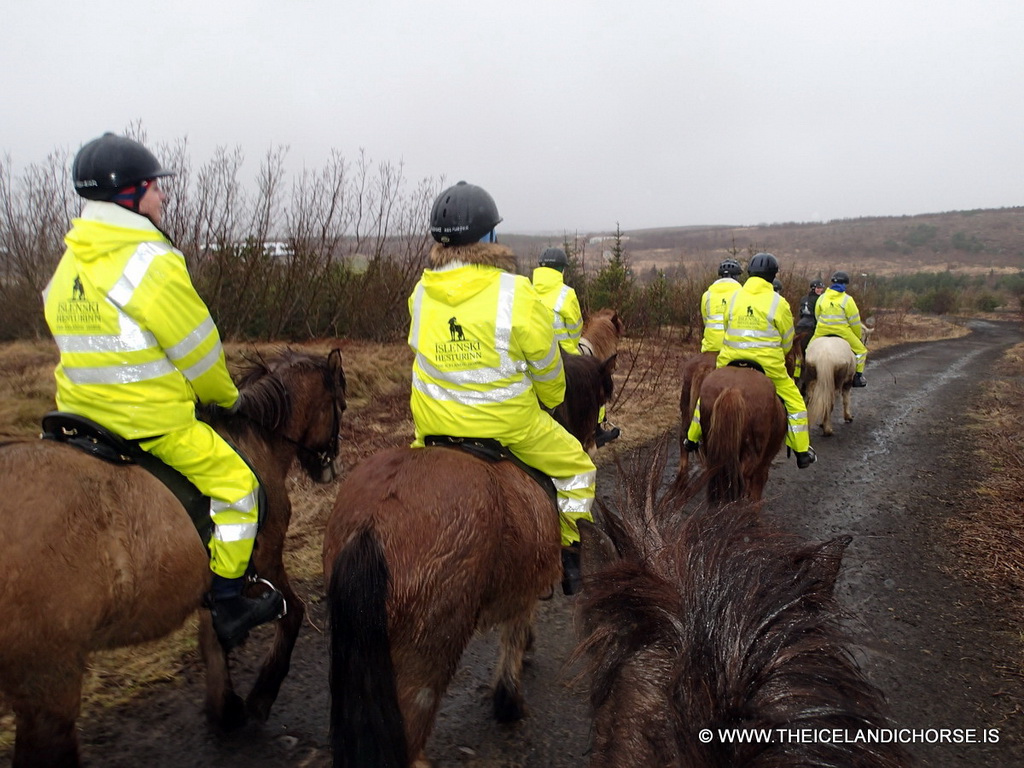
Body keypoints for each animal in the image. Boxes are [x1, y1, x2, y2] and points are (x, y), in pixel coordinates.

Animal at [0, 350, 346, 768]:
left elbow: (212, 639)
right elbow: (291, 612)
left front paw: (226, 709)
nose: (330, 467)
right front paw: (260, 696)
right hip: (49, 677)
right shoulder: (265, 558)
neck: (254, 441)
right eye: (340, 404)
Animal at [321, 352, 606, 765]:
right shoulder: (527, 584)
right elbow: (514, 633)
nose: (598, 437)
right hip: (426, 656)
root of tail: (371, 524)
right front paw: (509, 699)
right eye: (600, 396)